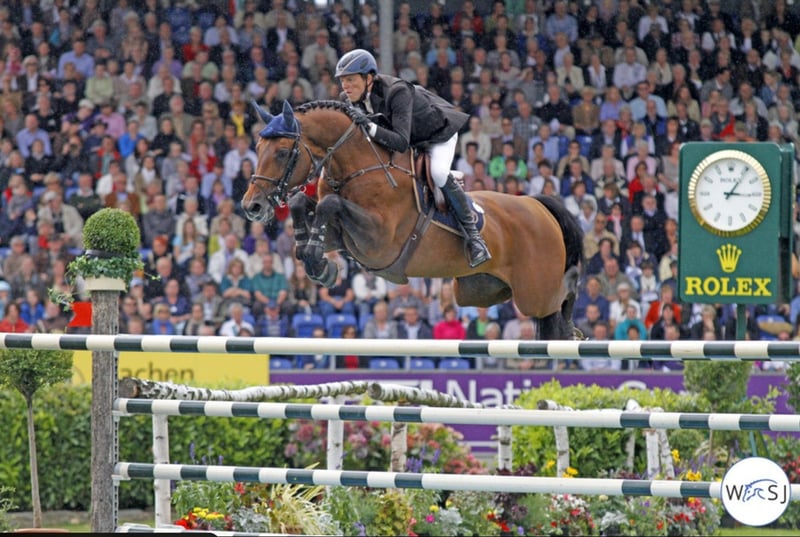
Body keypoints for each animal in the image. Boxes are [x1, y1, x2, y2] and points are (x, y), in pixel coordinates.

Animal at [241, 100, 584, 340]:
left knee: (564, 293)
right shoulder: (345, 238)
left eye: (282, 152)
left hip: (534, 293)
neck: (359, 167)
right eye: (257, 147)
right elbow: (305, 204)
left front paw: (319, 264)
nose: (252, 206)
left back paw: (573, 327)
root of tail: (537, 205)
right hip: (479, 290)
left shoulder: (378, 241)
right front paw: (315, 260)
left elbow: (329, 203)